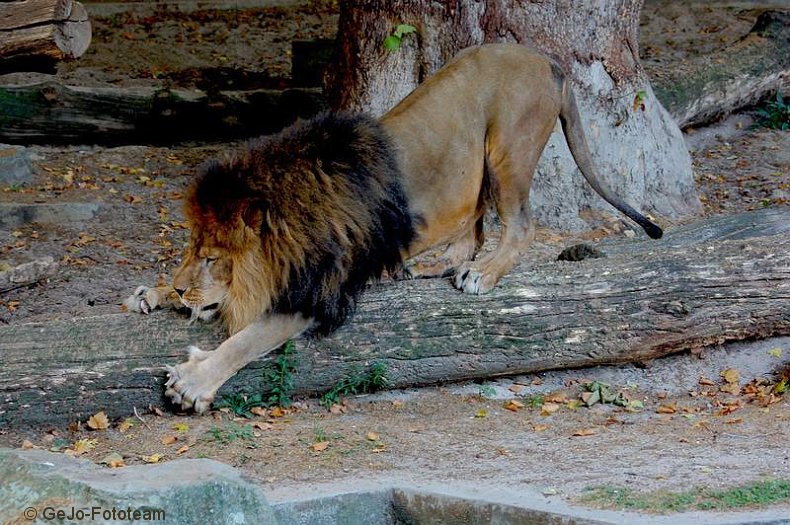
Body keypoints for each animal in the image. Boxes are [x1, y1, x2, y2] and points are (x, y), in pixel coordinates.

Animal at [127, 44, 664, 414]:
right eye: (190, 248)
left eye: (213, 257)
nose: (181, 286)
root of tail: (549, 60)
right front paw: (154, 293)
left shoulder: (320, 294)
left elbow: (245, 339)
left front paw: (193, 380)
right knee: (473, 229)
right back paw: (429, 268)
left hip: (508, 146)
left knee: (519, 227)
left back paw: (481, 274)